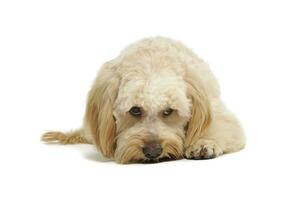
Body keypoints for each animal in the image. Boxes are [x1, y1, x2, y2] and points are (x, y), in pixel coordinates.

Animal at [41, 36, 244, 163]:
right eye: (135, 110)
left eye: (168, 111)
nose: (153, 152)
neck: (152, 60)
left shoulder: (217, 110)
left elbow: (221, 127)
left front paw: (203, 142)